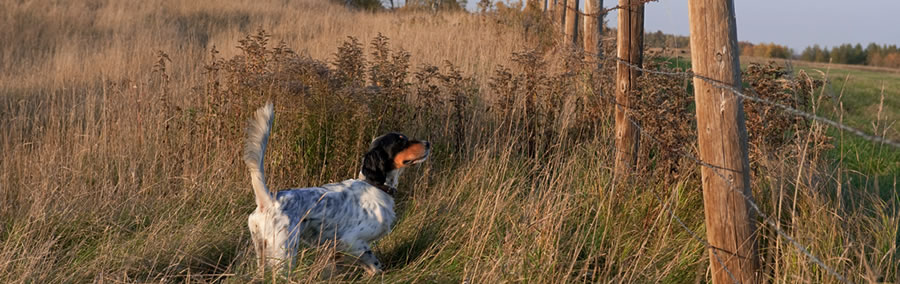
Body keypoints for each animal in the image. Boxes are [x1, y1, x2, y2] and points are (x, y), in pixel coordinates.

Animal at [243, 102, 432, 276]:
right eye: (401, 141)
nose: (428, 143)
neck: (376, 185)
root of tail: (269, 200)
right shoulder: (352, 241)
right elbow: (373, 262)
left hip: (262, 249)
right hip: (285, 252)